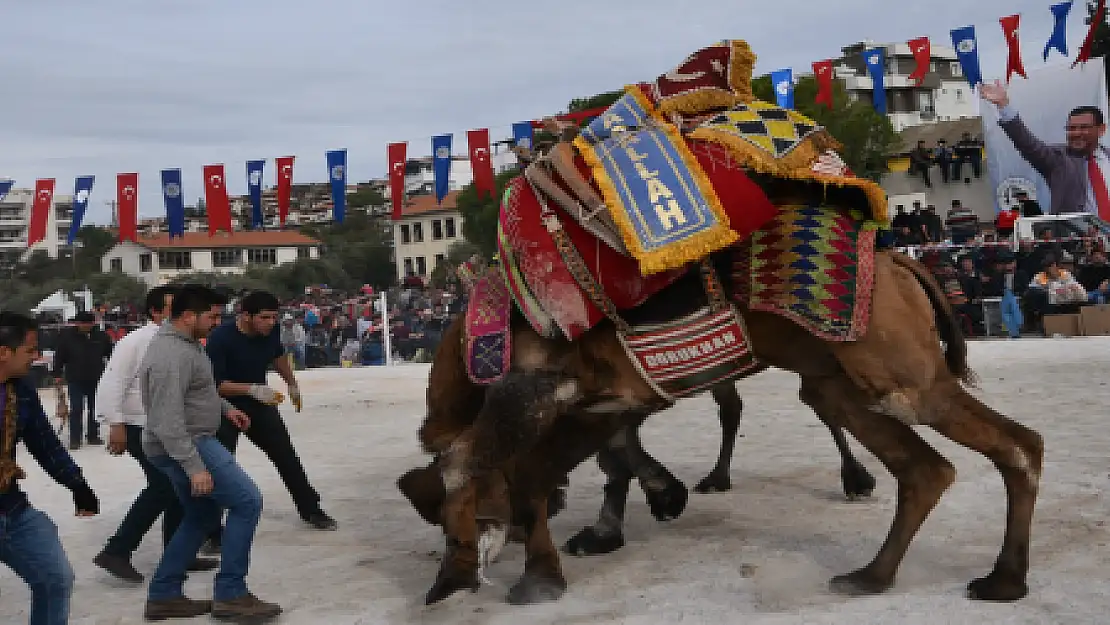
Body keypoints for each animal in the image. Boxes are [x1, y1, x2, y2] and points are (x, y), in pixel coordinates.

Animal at [415, 205, 1038, 608]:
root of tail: (901, 264)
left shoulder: (536, 390)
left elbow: (467, 465)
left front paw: (456, 572)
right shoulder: (597, 402)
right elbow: (552, 473)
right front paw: (558, 563)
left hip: (903, 376)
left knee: (1012, 444)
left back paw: (993, 578)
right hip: (845, 380)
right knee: (926, 466)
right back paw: (883, 574)